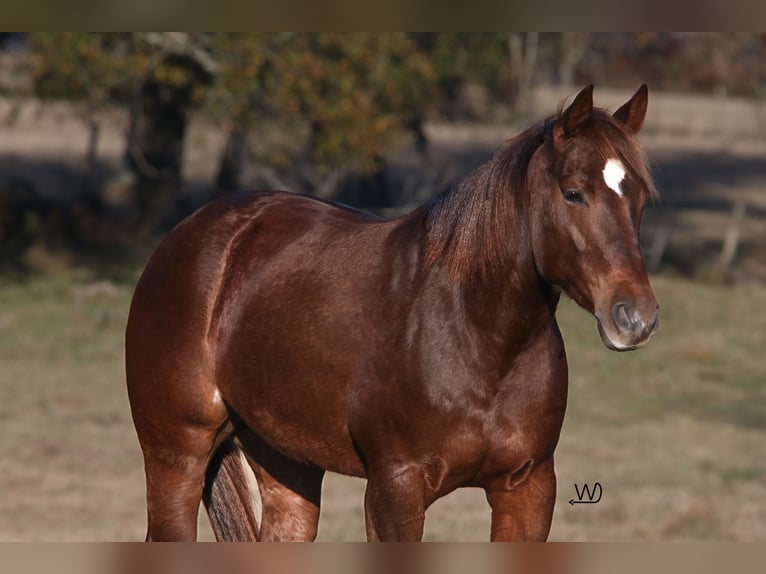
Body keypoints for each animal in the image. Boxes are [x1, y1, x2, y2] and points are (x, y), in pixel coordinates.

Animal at [124, 83, 660, 544]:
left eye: (640, 198)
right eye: (573, 192)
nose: (636, 318)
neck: (478, 338)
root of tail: (193, 233)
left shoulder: (528, 487)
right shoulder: (394, 491)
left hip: (285, 462)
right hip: (177, 455)